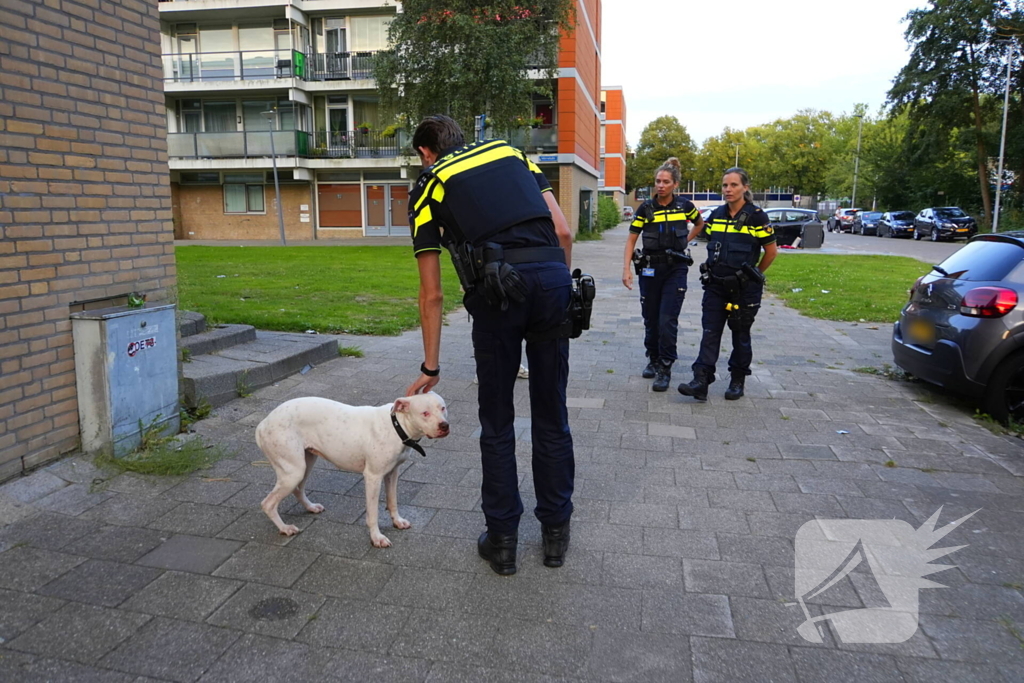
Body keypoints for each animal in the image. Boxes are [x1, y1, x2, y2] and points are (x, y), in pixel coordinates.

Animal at [252, 393, 448, 548]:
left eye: (443, 408)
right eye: (425, 413)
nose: (444, 426)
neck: (396, 426)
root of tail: (263, 422)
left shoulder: (392, 473)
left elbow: (392, 501)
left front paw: (397, 521)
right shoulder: (373, 477)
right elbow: (373, 513)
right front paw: (376, 538)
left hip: (306, 463)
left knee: (298, 490)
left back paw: (311, 507)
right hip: (294, 471)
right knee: (268, 503)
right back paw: (285, 528)